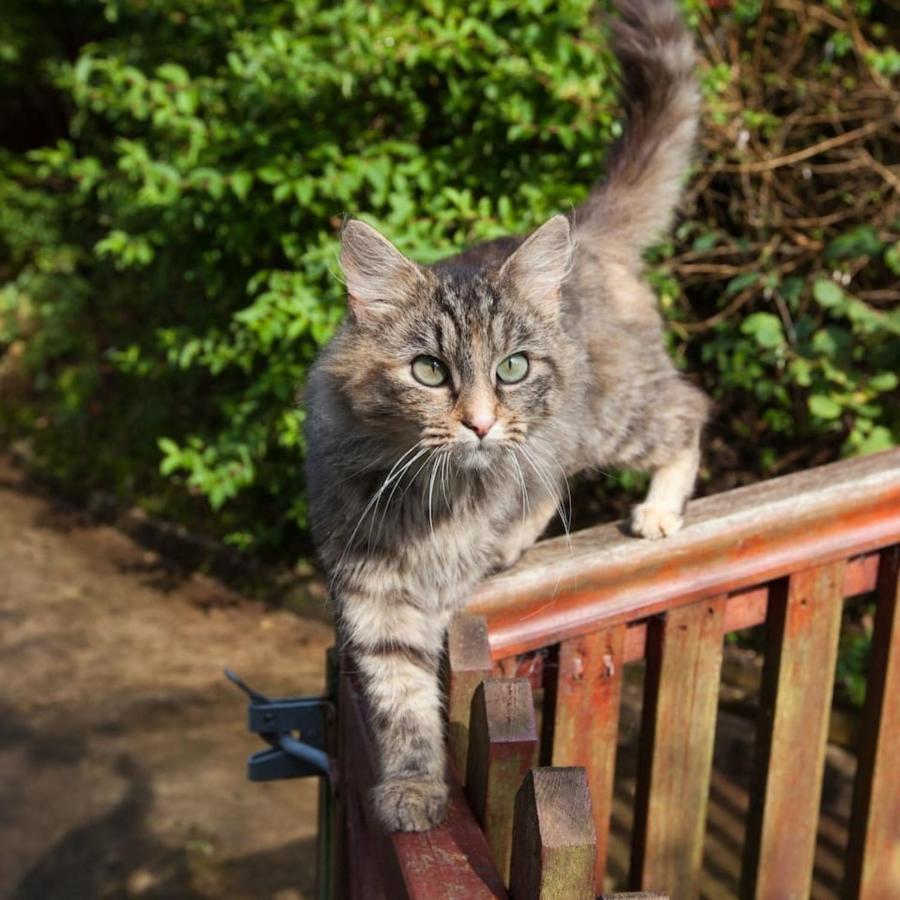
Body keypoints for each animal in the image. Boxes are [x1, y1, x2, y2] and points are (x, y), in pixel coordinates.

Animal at [308, 0, 712, 828]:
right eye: (429, 371)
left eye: (512, 367)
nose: (481, 422)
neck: (427, 498)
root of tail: (588, 236)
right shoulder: (371, 590)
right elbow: (400, 699)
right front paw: (413, 788)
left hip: (610, 415)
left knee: (689, 409)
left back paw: (659, 510)